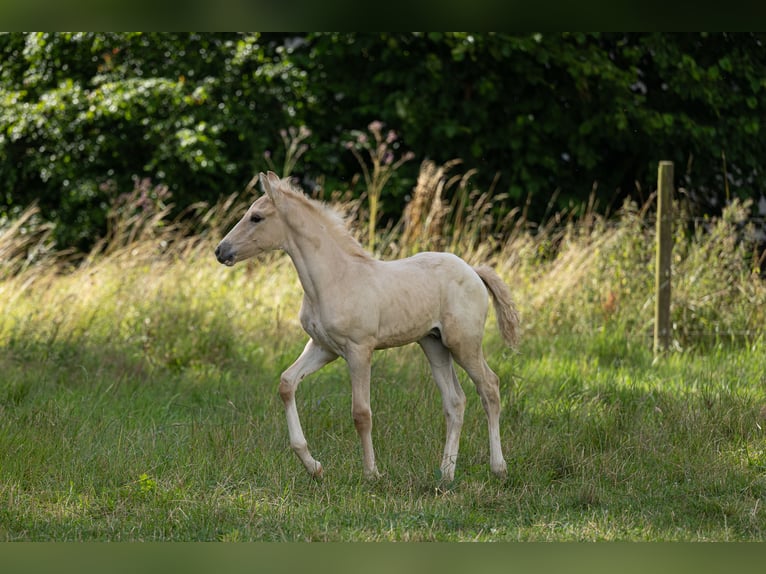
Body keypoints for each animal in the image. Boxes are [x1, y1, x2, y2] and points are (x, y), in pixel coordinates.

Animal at [216, 172, 520, 486]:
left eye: (256, 217)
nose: (221, 251)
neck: (334, 278)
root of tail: (473, 271)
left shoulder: (359, 349)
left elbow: (361, 413)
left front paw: (372, 473)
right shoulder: (323, 347)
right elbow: (287, 383)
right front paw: (314, 466)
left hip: (463, 344)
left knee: (490, 387)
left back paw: (498, 468)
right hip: (434, 344)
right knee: (455, 401)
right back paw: (446, 474)